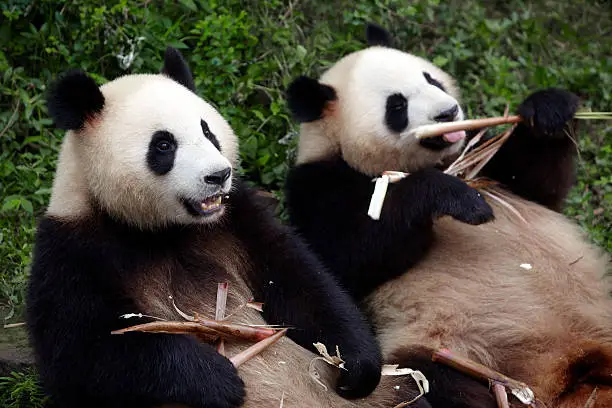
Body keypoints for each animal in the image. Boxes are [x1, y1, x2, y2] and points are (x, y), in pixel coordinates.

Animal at [25, 45, 430, 408]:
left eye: (208, 132)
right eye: (163, 145)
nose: (218, 175)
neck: (163, 230)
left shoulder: (238, 220)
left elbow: (302, 284)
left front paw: (355, 365)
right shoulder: (73, 252)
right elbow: (86, 352)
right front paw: (217, 379)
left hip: (388, 398)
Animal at [284, 23, 612, 408]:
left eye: (432, 79)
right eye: (397, 105)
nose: (448, 112)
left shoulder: (479, 161)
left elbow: (536, 186)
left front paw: (546, 109)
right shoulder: (317, 187)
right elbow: (347, 258)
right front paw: (458, 199)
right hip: (461, 353)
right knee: (442, 380)